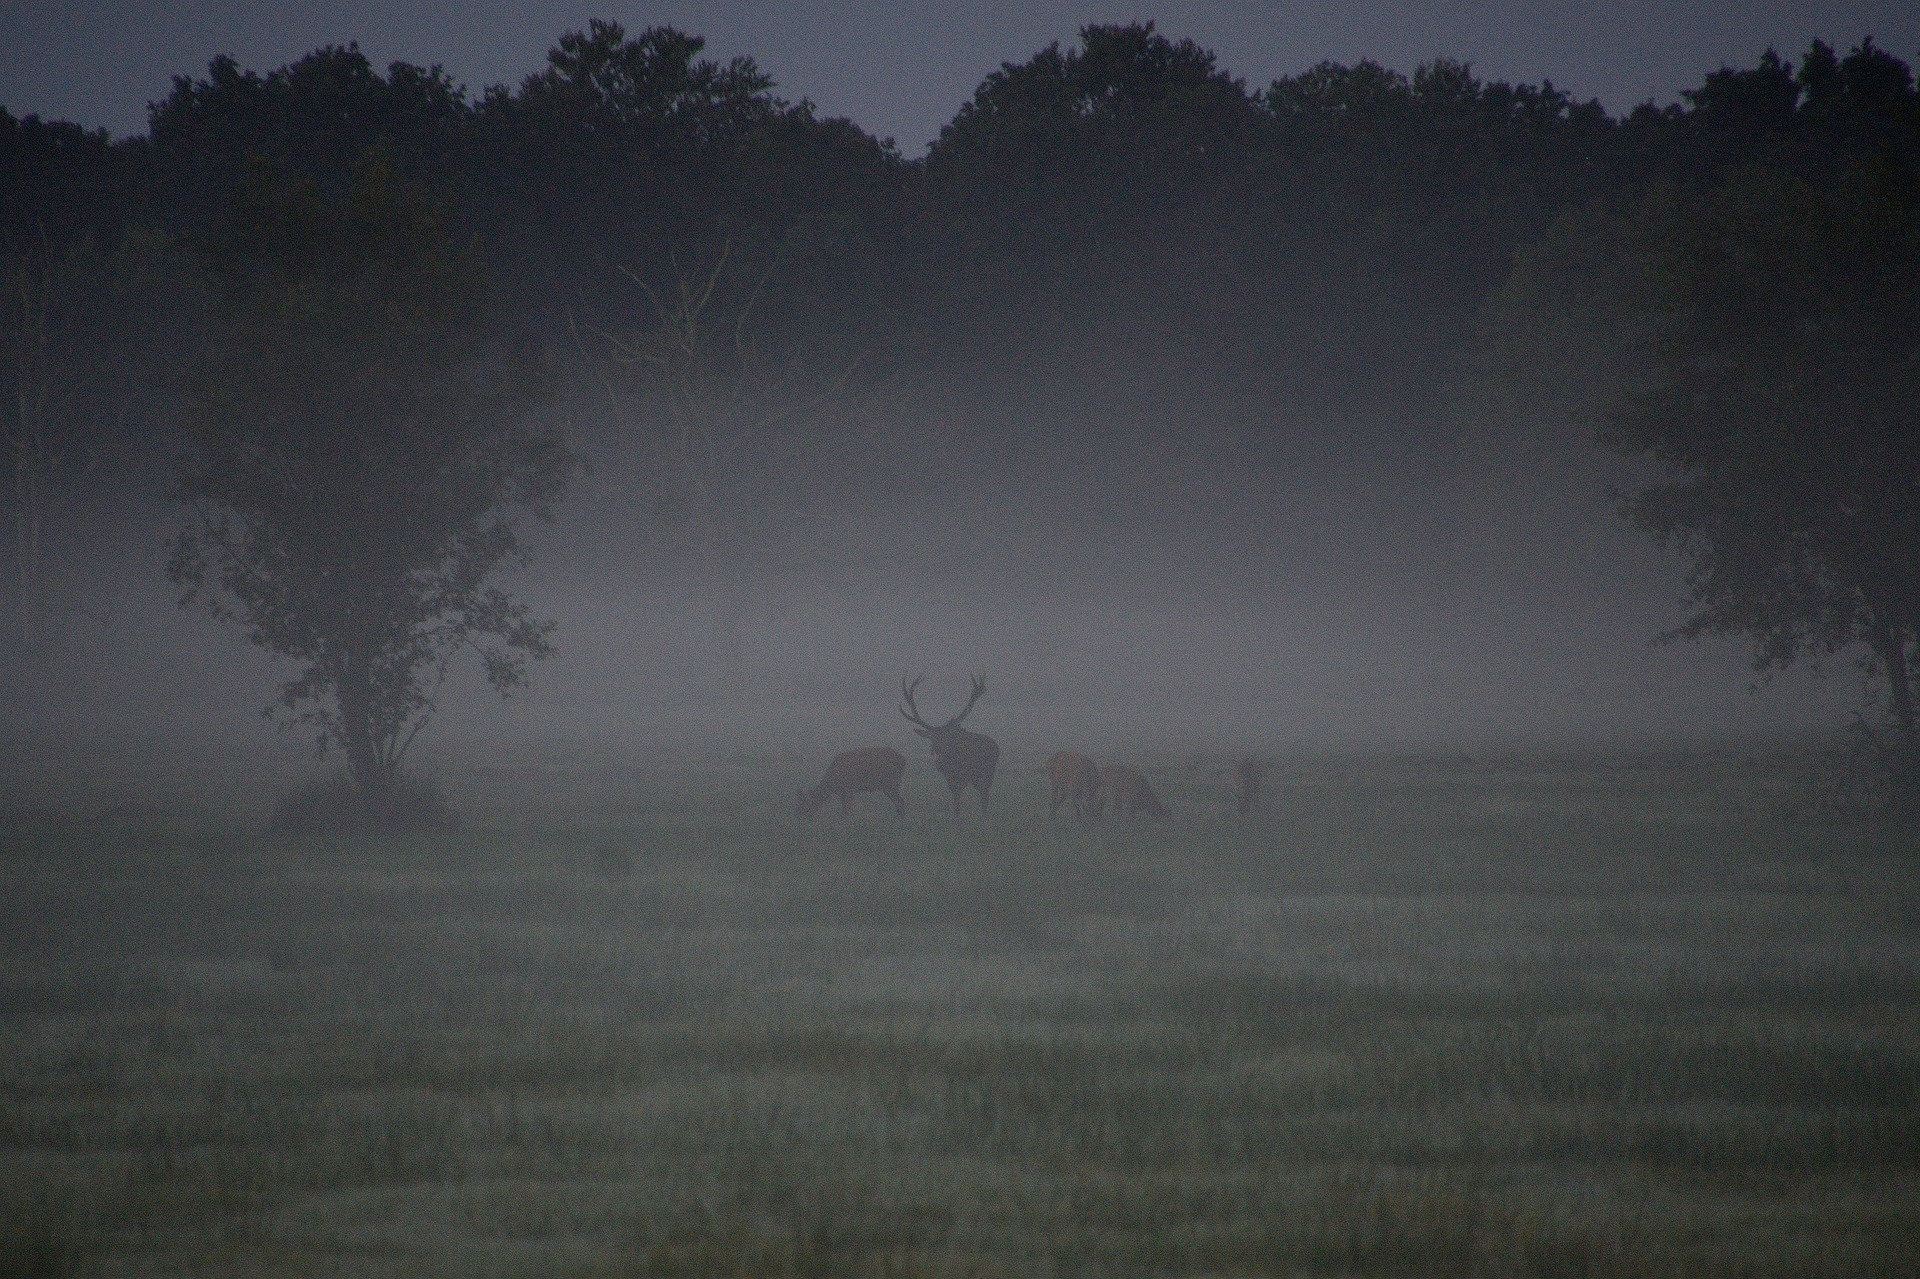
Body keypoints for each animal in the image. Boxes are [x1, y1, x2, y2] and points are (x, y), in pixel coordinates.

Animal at [898, 672, 998, 810]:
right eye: (933, 738)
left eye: (948, 737)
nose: (938, 753)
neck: (950, 765)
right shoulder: (949, 779)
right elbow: (955, 801)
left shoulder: (962, 776)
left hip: (988, 772)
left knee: (984, 795)